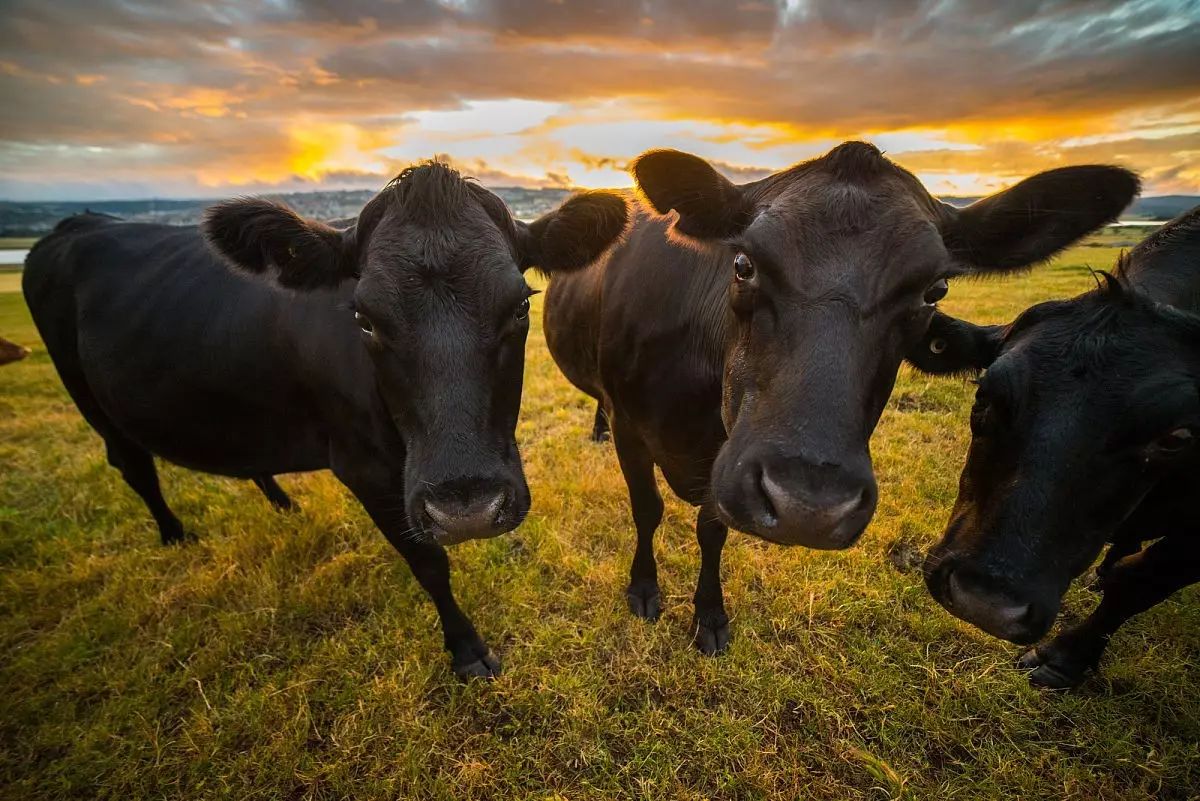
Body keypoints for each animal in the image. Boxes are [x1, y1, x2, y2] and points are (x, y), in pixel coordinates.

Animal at [23, 163, 628, 676]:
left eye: (521, 305)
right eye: (362, 318)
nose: (468, 510)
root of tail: (76, 222)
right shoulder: (365, 467)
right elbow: (428, 563)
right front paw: (467, 649)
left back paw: (282, 504)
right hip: (88, 396)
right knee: (133, 464)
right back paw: (175, 536)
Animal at [544, 142, 1132, 657]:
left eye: (935, 290)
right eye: (743, 264)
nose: (809, 505)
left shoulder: (724, 455)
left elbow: (712, 529)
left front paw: (709, 616)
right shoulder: (632, 424)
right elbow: (647, 509)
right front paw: (644, 589)